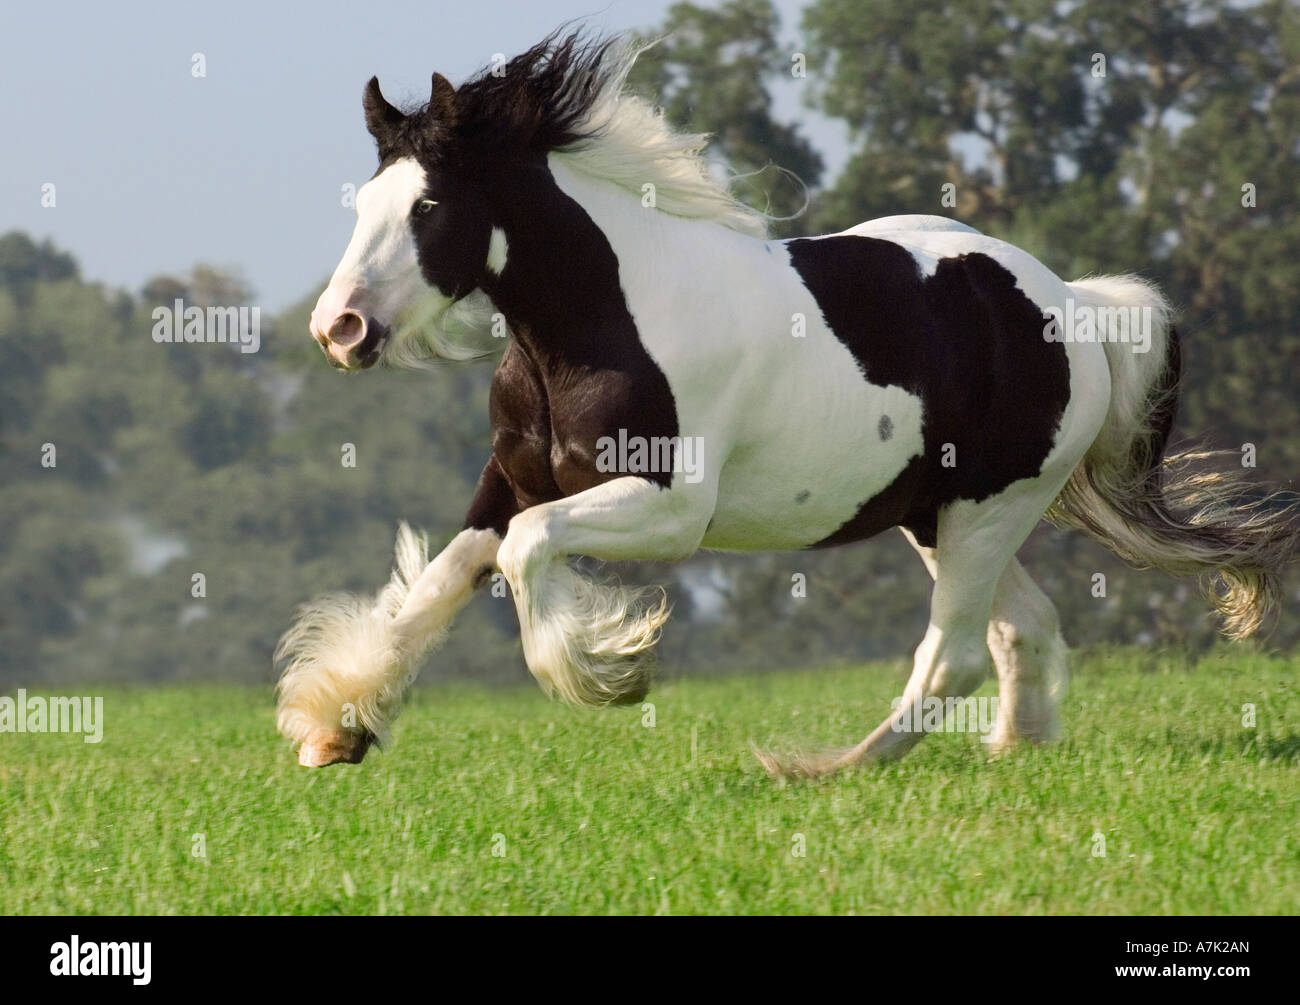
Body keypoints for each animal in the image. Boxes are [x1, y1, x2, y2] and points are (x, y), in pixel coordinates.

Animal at [274, 29, 1289, 774]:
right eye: (365, 201)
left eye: (430, 207)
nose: (340, 329)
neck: (602, 318)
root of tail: (1072, 303)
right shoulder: (511, 484)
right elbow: (431, 593)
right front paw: (334, 726)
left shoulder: (666, 507)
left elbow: (528, 554)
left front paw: (610, 671)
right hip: (941, 515)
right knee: (1021, 632)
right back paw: (1011, 754)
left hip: (986, 510)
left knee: (955, 652)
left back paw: (818, 767)